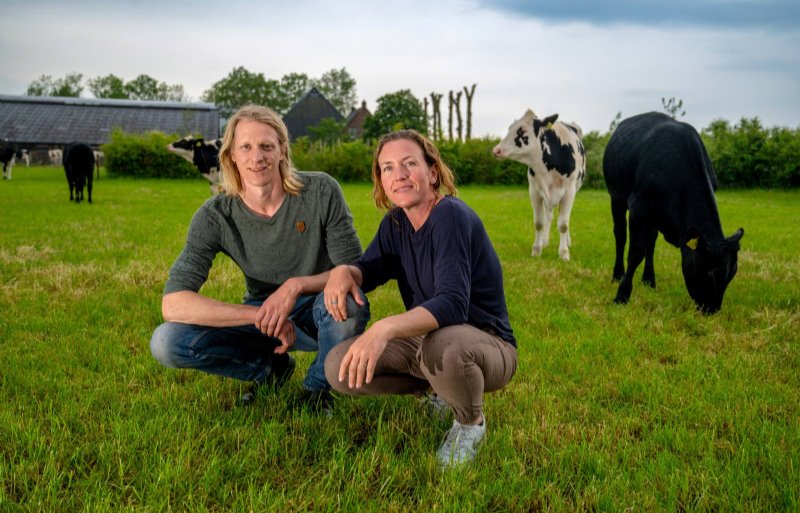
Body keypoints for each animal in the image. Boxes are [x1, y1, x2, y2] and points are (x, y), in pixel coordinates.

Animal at [490, 108, 584, 260]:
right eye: (510, 128)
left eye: (522, 130)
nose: (496, 150)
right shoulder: (534, 191)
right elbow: (539, 222)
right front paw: (537, 249)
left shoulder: (569, 192)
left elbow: (563, 224)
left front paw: (564, 253)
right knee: (549, 216)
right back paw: (545, 241)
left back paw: (567, 242)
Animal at [604, 112, 748, 312]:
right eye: (708, 272)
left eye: (732, 272)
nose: (712, 309)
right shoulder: (637, 208)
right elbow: (635, 252)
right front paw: (622, 295)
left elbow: (646, 247)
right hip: (616, 197)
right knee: (620, 234)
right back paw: (617, 274)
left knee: (650, 241)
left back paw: (649, 279)